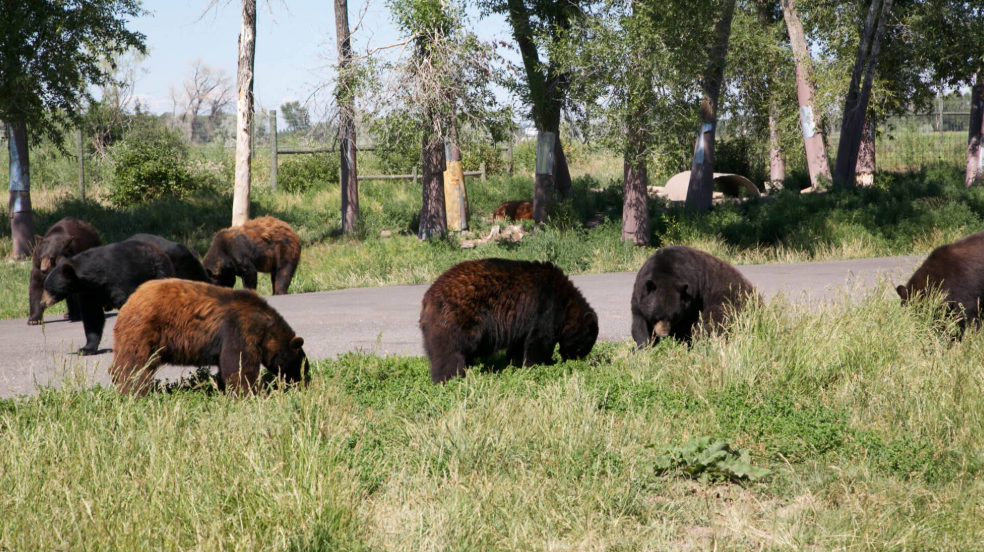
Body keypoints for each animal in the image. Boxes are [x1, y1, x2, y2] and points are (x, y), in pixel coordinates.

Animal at [41, 240, 176, 355]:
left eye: (49, 288)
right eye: (45, 286)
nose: (42, 303)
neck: (96, 278)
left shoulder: (120, 281)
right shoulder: (89, 293)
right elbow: (92, 316)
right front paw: (86, 348)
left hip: (160, 273)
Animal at [111, 279, 308, 396]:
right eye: (301, 364)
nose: (302, 383)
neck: (266, 327)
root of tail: (128, 303)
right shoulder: (239, 328)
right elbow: (240, 365)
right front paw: (253, 393)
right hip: (144, 331)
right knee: (135, 365)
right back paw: (133, 391)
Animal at [419, 258, 598, 383]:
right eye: (587, 344)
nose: (578, 360)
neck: (565, 302)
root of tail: (427, 298)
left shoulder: (522, 322)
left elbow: (519, 344)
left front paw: (515, 362)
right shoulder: (545, 309)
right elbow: (539, 342)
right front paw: (538, 366)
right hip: (458, 319)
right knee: (448, 351)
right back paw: (448, 378)